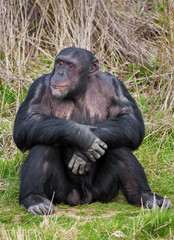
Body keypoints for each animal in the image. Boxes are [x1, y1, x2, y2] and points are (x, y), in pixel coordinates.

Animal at [13, 46, 171, 214]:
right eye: (60, 63)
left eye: (70, 66)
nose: (60, 73)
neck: (79, 90)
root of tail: (84, 199)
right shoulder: (39, 87)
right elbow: (27, 122)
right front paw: (84, 137)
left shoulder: (116, 86)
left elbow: (130, 120)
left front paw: (83, 154)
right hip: (63, 193)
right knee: (43, 142)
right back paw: (34, 199)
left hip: (103, 192)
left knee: (119, 144)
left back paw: (145, 196)